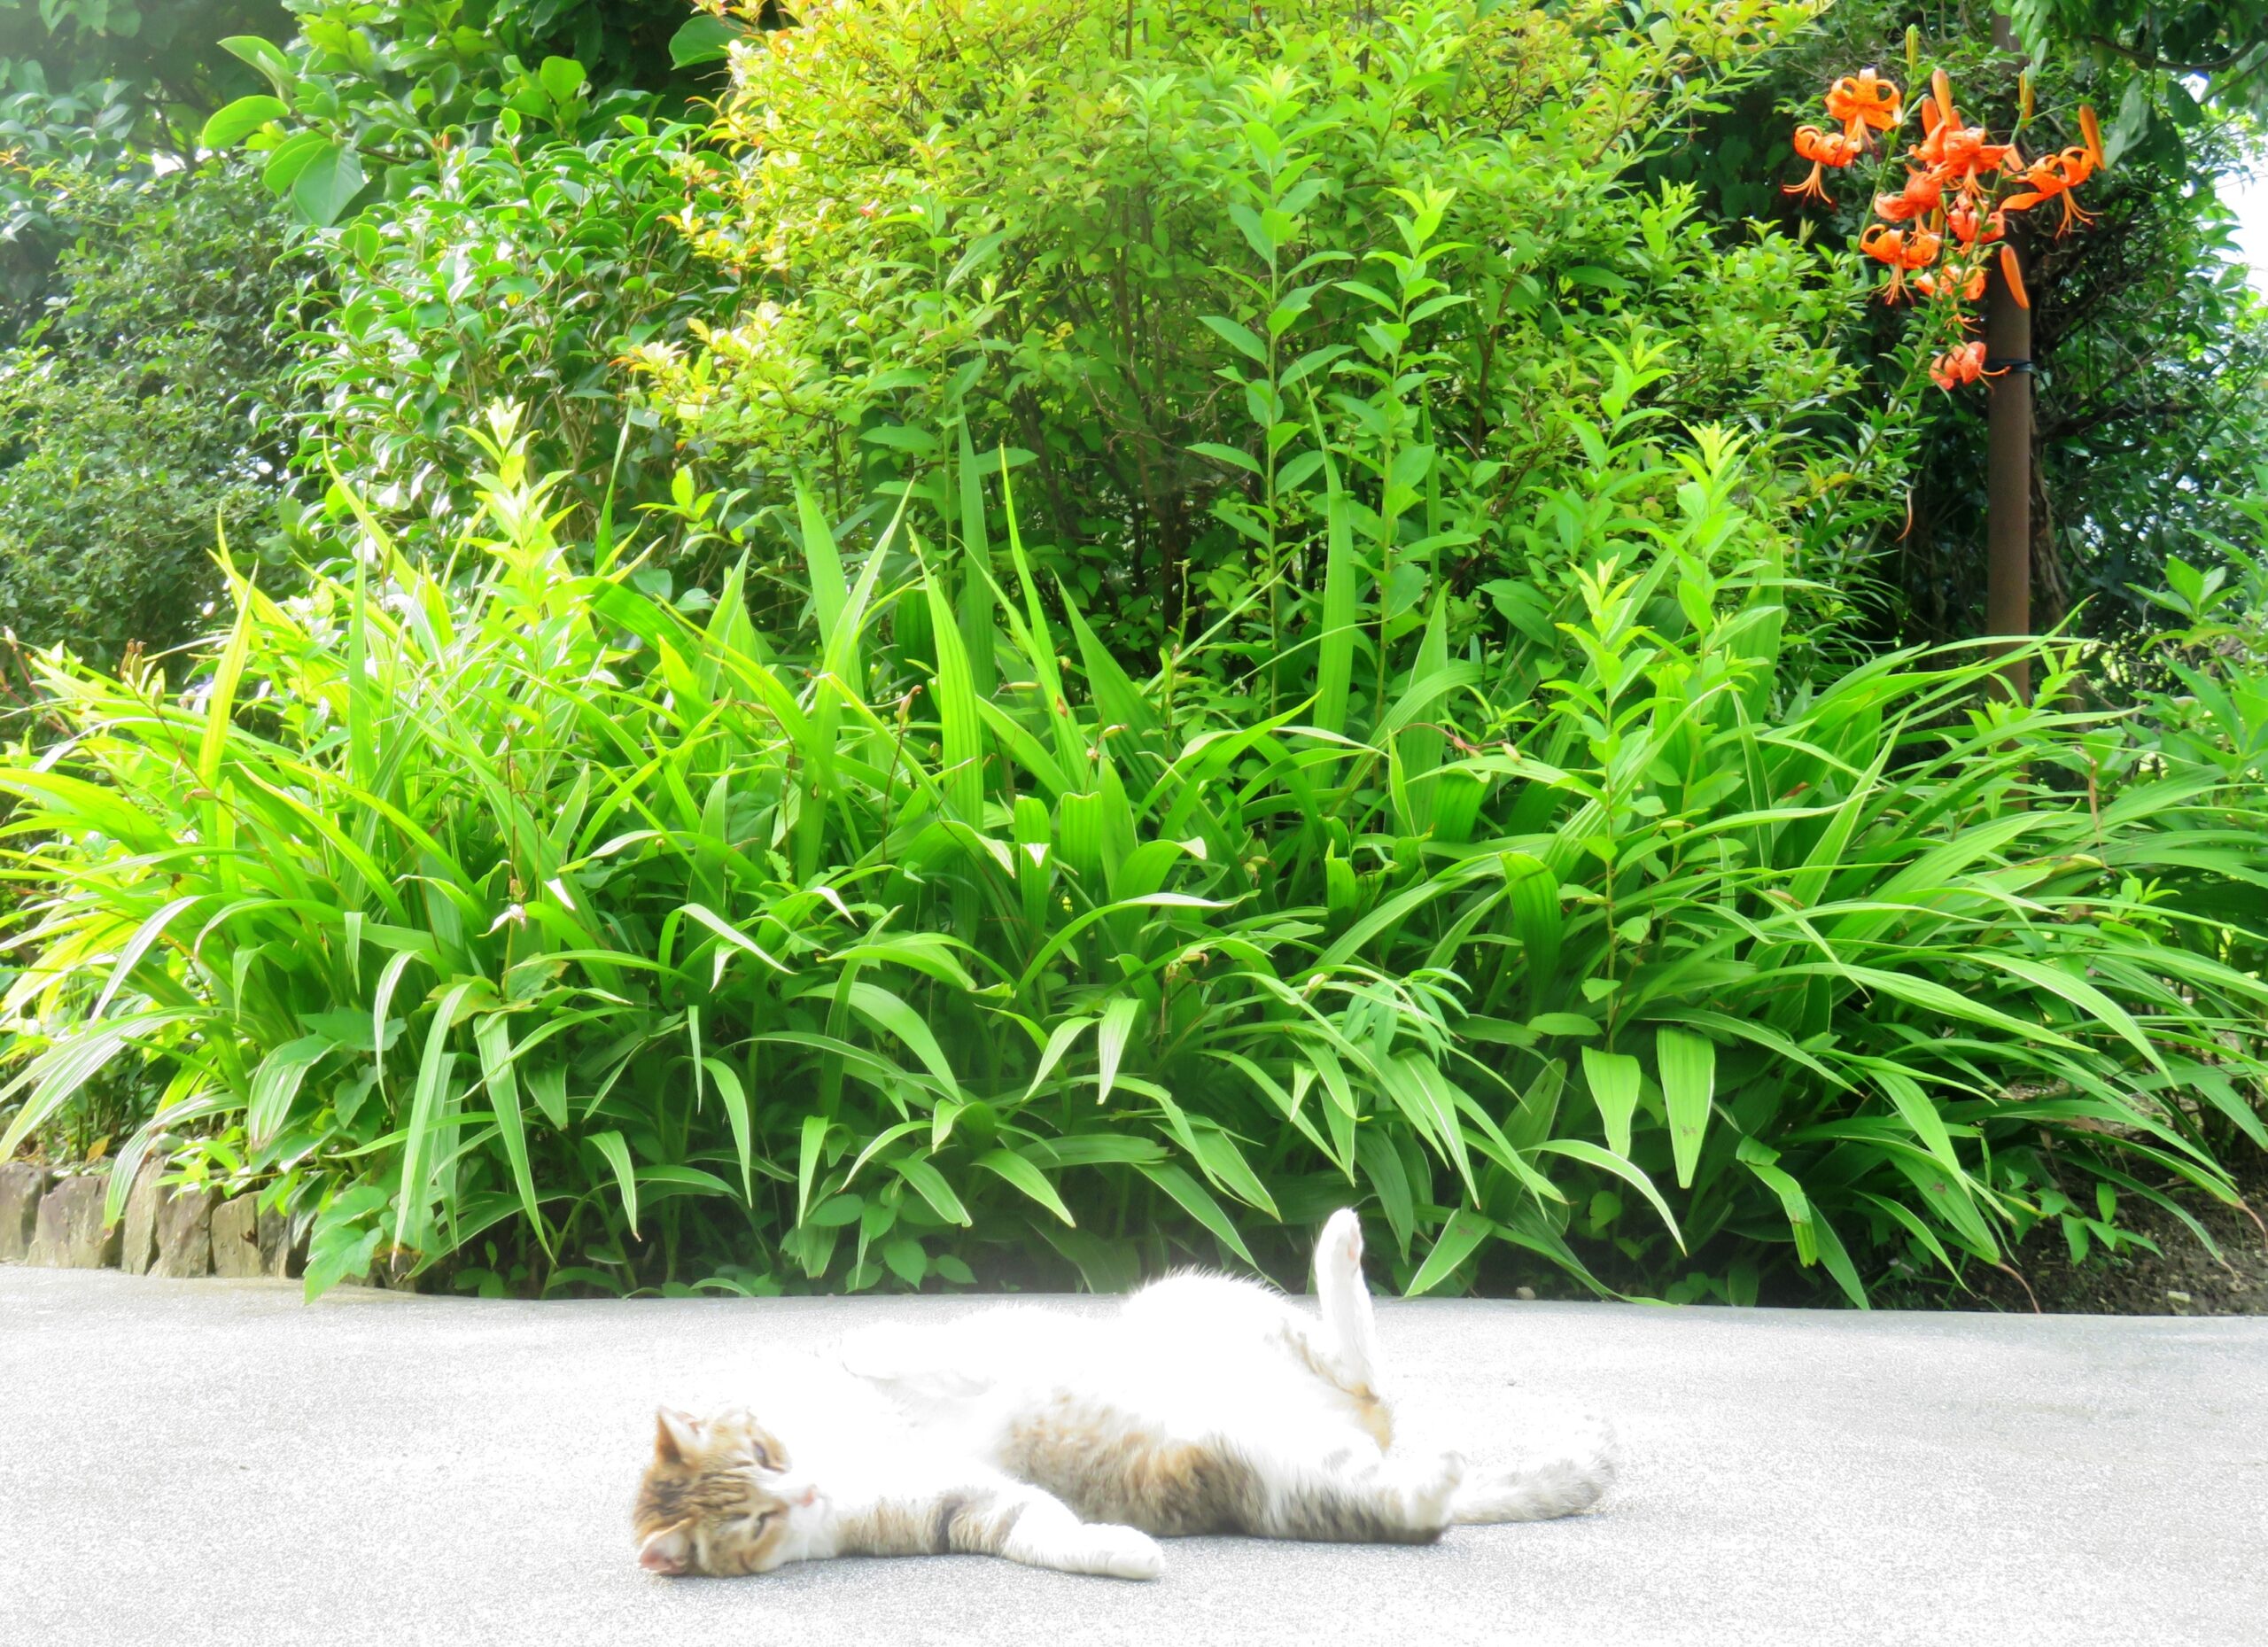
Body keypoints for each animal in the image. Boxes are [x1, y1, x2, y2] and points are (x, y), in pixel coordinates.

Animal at [634, 1216, 1614, 1588]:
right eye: (756, 1520)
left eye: (766, 1455)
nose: (804, 1490)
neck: (840, 1468)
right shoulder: (965, 1508)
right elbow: (1045, 1532)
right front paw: (1128, 1553)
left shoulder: (949, 1352)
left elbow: (906, 1347)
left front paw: (865, 1346)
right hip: (1290, 1478)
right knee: (1412, 1491)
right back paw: (1435, 1467)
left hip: (1188, 1296)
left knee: (1367, 1374)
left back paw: (1339, 1243)